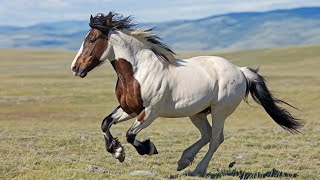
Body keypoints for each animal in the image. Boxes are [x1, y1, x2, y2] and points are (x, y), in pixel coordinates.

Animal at [69, 12, 302, 177]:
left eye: (92, 40)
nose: (75, 68)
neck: (137, 72)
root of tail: (240, 70)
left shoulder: (149, 112)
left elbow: (130, 135)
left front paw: (148, 148)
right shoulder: (129, 109)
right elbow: (105, 123)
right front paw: (117, 152)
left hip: (219, 111)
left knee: (216, 138)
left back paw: (198, 169)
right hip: (197, 112)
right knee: (206, 135)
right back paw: (183, 161)